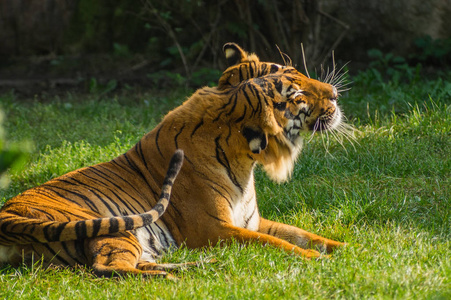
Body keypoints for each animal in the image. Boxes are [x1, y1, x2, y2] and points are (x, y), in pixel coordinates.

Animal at [0, 43, 346, 278]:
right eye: (298, 91)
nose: (334, 93)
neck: (246, 157)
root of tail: (7, 217)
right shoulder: (213, 230)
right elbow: (278, 244)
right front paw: (320, 261)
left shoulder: (251, 222)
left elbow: (302, 234)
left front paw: (347, 248)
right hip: (109, 227)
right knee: (108, 267)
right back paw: (174, 276)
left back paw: (200, 266)